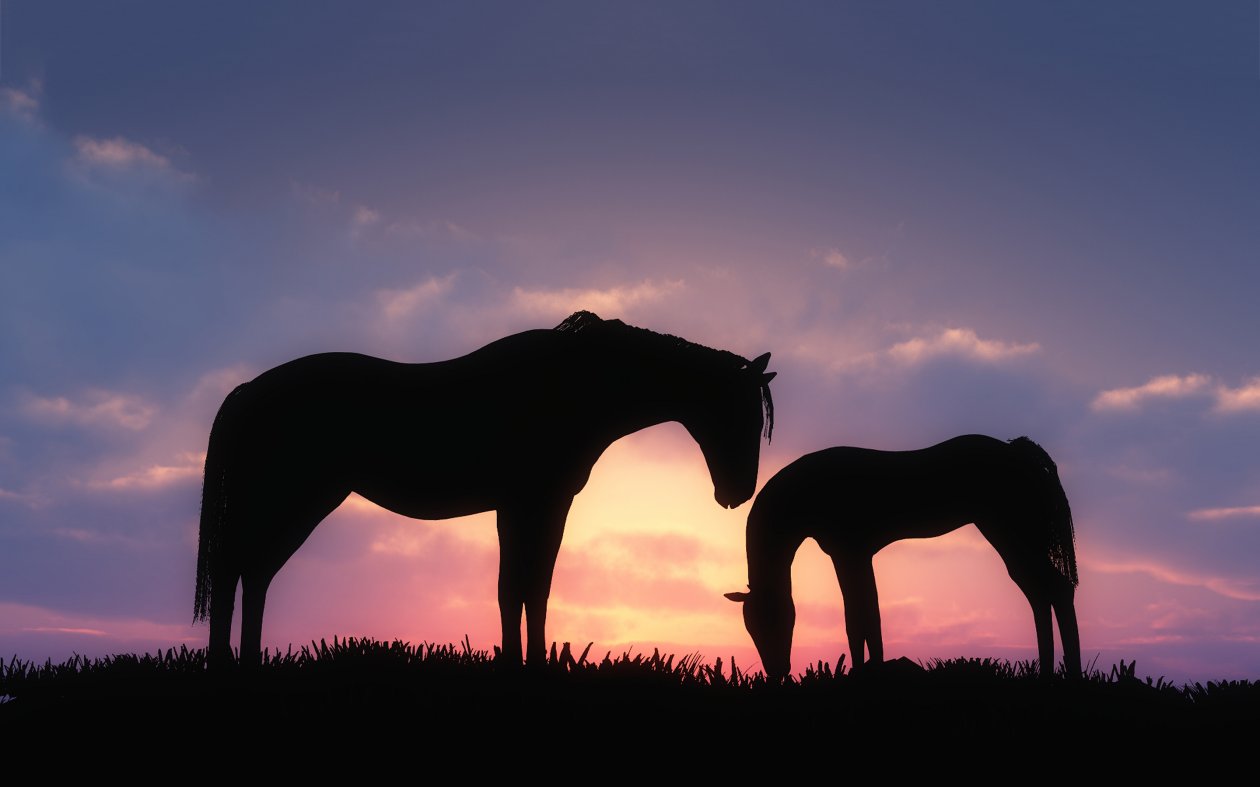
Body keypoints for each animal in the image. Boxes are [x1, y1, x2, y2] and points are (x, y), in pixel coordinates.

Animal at [195, 310, 775, 667]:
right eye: (742, 413)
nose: (737, 494)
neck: (575, 387)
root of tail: (248, 390)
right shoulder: (537, 503)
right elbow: (526, 586)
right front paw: (529, 664)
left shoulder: (523, 507)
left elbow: (520, 587)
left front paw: (524, 661)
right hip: (293, 499)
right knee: (239, 570)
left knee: (253, 573)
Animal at [725, 435, 1079, 680]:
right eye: (750, 628)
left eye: (774, 619)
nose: (777, 671)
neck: (808, 492)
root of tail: (1020, 452)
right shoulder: (854, 555)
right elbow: (864, 617)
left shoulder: (850, 552)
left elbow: (860, 618)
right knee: (1040, 593)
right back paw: (1047, 671)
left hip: (1011, 534)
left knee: (1055, 590)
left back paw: (1071, 673)